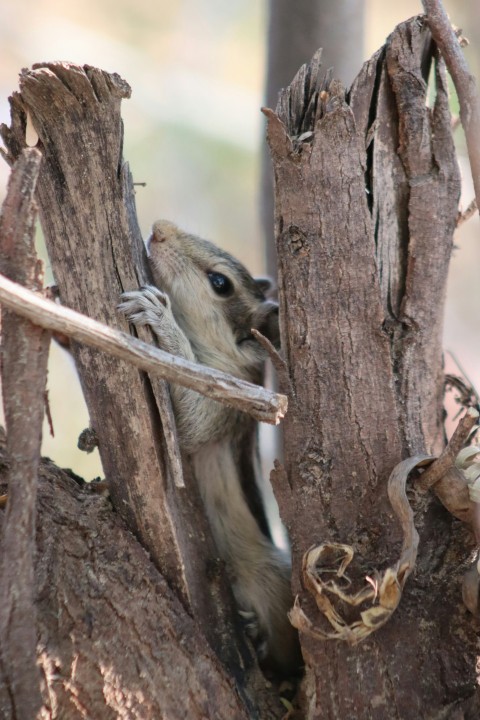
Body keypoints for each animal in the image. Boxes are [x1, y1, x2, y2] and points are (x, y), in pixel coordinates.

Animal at [119, 221, 300, 676]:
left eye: (220, 283)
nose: (159, 230)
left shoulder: (224, 403)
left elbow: (189, 427)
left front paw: (161, 318)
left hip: (269, 580)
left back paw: (257, 636)